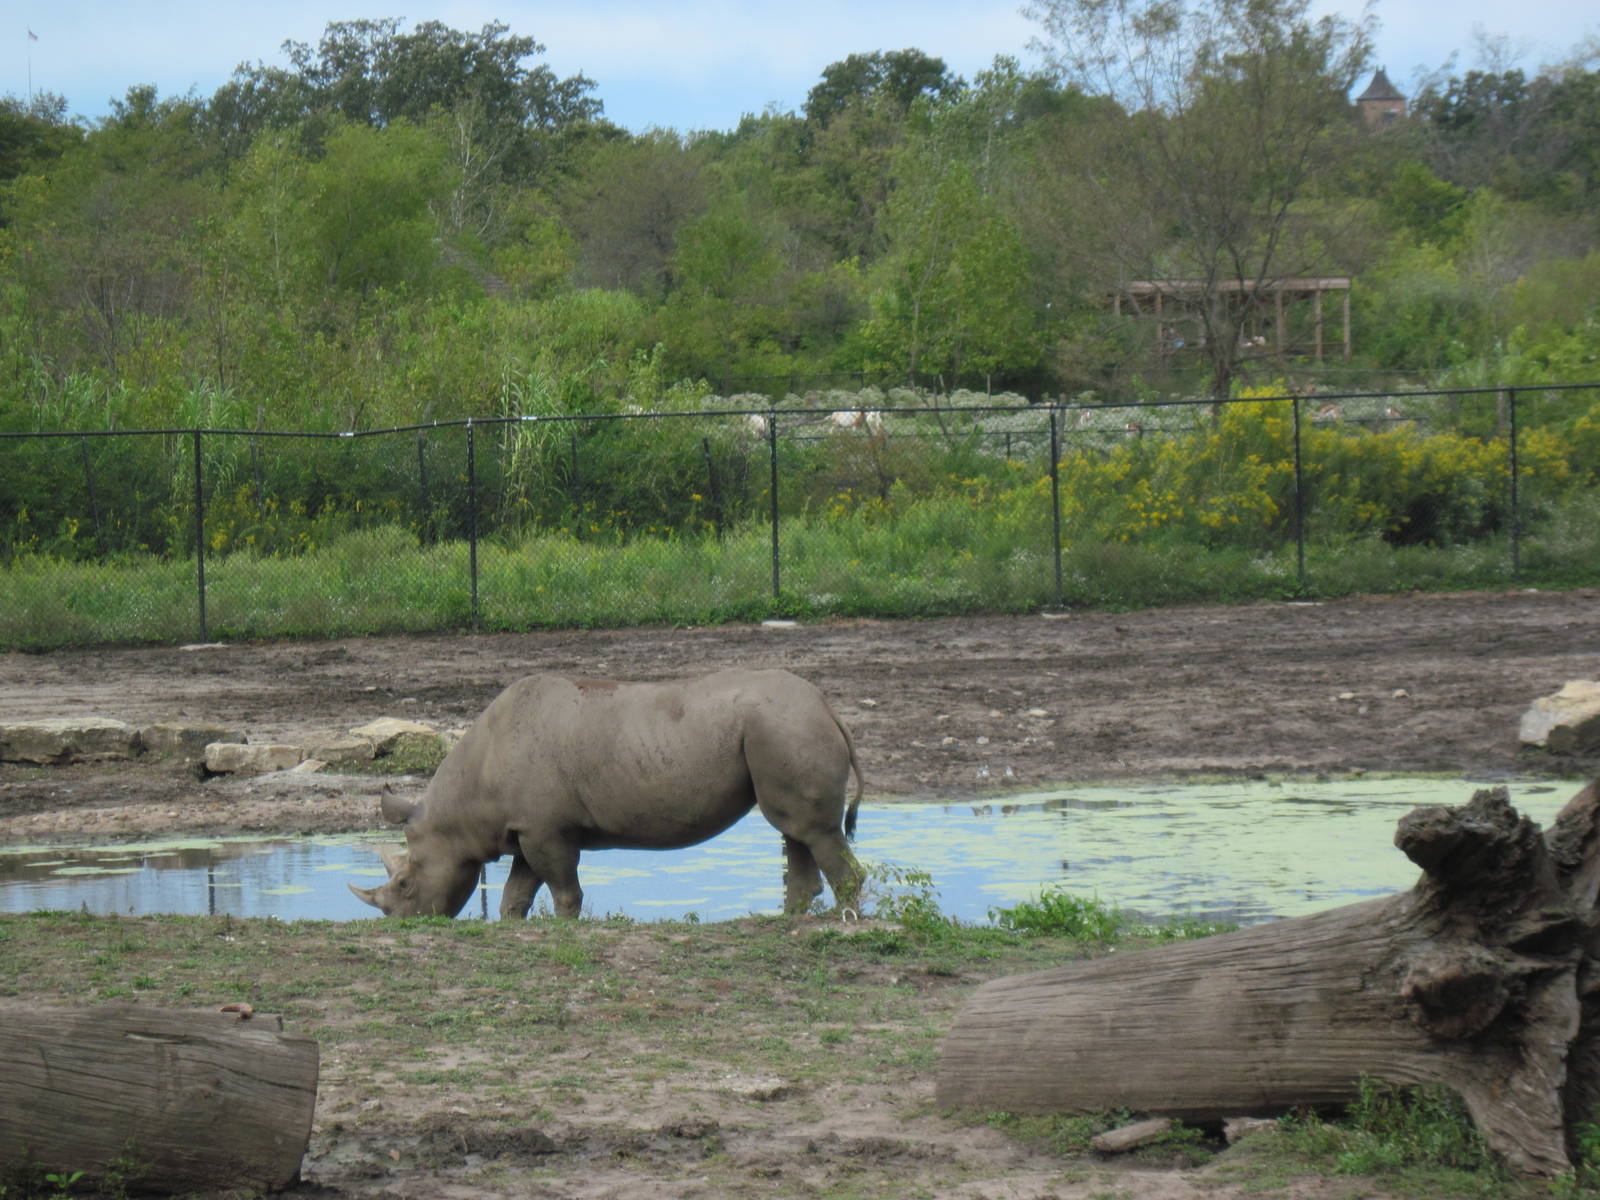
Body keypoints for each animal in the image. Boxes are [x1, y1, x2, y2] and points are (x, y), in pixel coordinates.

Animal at [349, 668, 864, 919]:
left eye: (404, 883)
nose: (401, 922)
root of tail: (829, 709)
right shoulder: (527, 828)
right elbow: (516, 894)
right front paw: (513, 927)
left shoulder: (547, 830)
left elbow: (564, 890)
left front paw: (565, 927)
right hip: (781, 727)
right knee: (795, 831)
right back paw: (787, 922)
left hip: (785, 728)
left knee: (811, 831)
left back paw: (847, 922)